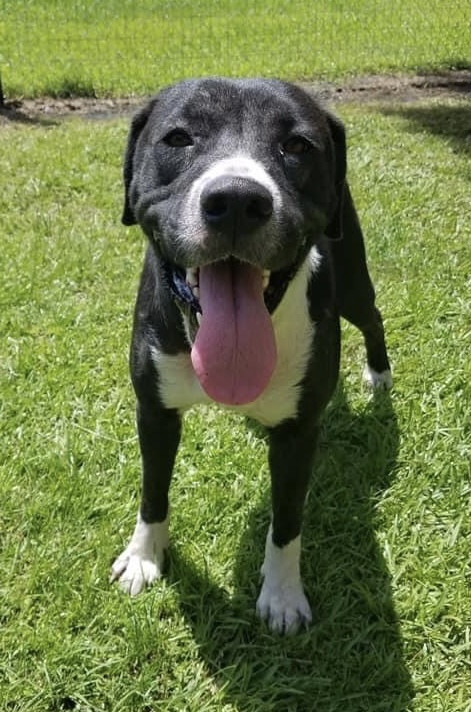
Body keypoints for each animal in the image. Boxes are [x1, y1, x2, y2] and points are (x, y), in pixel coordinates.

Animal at [109, 78, 390, 636]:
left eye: (298, 145)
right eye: (178, 138)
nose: (237, 200)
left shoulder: (299, 433)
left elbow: (287, 519)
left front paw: (281, 595)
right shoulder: (154, 411)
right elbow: (153, 489)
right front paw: (145, 556)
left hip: (352, 280)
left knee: (372, 316)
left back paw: (380, 374)